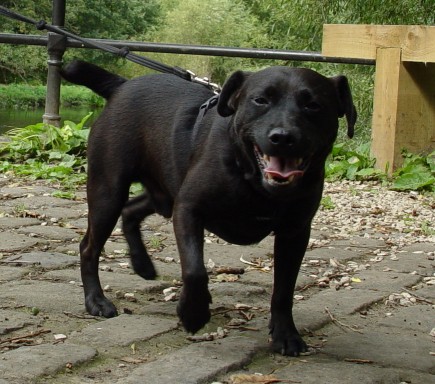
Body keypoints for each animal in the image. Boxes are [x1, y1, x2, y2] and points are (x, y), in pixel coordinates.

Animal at [62, 60, 358, 356]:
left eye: (313, 105)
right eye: (260, 100)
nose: (283, 137)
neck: (251, 177)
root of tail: (121, 85)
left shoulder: (294, 233)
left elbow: (284, 290)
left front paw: (285, 334)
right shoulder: (188, 210)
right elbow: (195, 270)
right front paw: (194, 313)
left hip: (163, 196)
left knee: (130, 211)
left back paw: (142, 264)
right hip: (108, 193)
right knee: (89, 247)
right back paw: (96, 300)